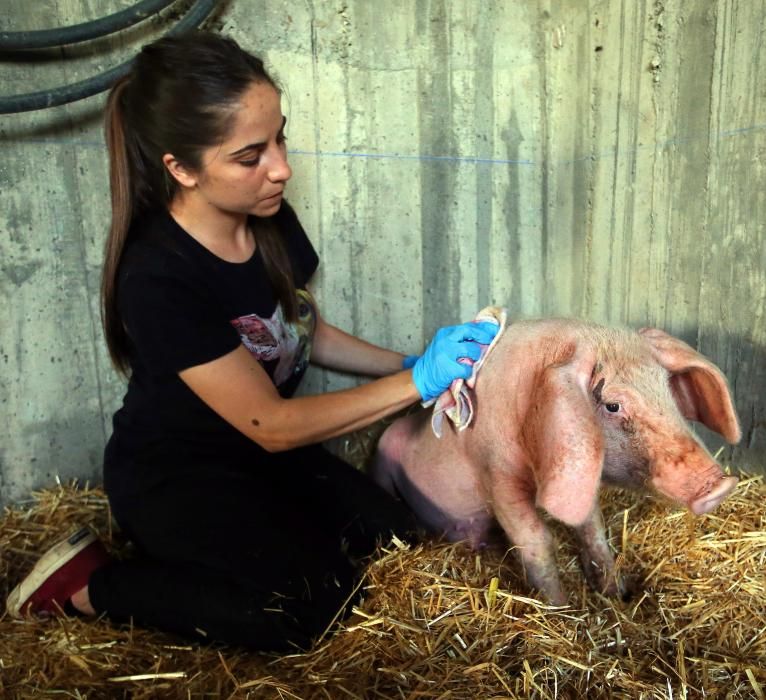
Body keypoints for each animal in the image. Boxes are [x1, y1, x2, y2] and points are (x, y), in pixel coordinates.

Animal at [372, 320, 744, 604]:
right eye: (613, 406)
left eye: (666, 390)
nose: (720, 485)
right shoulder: (496, 475)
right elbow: (536, 538)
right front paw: (559, 608)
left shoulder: (580, 467)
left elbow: (592, 528)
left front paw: (617, 594)